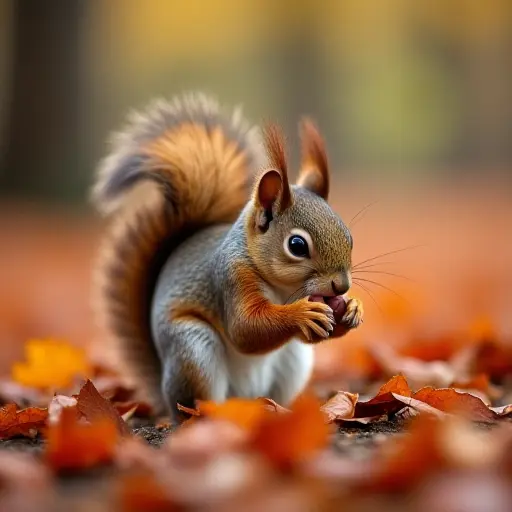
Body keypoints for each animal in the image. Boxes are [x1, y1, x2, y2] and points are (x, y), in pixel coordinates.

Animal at [92, 92, 364, 420]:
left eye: (349, 236)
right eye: (297, 245)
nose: (342, 286)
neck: (284, 290)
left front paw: (353, 309)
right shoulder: (231, 278)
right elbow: (245, 329)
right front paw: (300, 314)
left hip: (292, 361)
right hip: (193, 348)